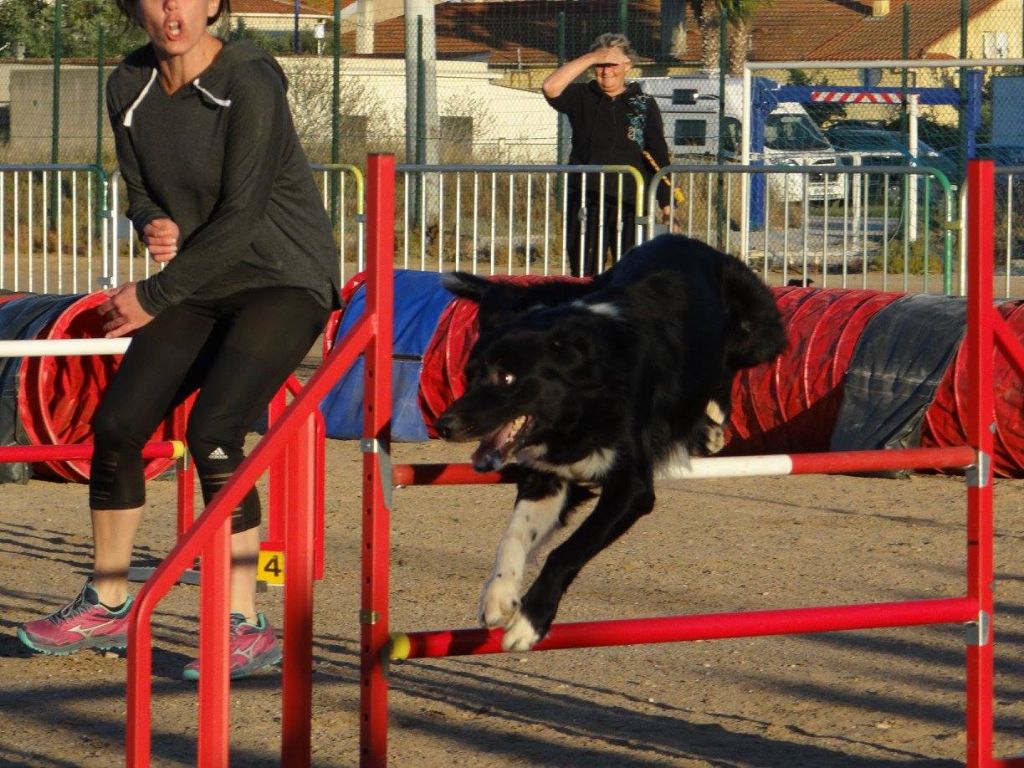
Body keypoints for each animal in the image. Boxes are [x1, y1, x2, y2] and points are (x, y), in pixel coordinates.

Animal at [432, 233, 782, 651]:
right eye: (469, 374)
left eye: (507, 377)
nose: (444, 425)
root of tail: (690, 240)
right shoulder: (548, 476)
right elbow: (514, 534)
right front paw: (498, 596)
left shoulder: (632, 489)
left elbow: (566, 553)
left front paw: (530, 621)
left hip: (757, 332)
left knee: (731, 366)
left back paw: (713, 419)